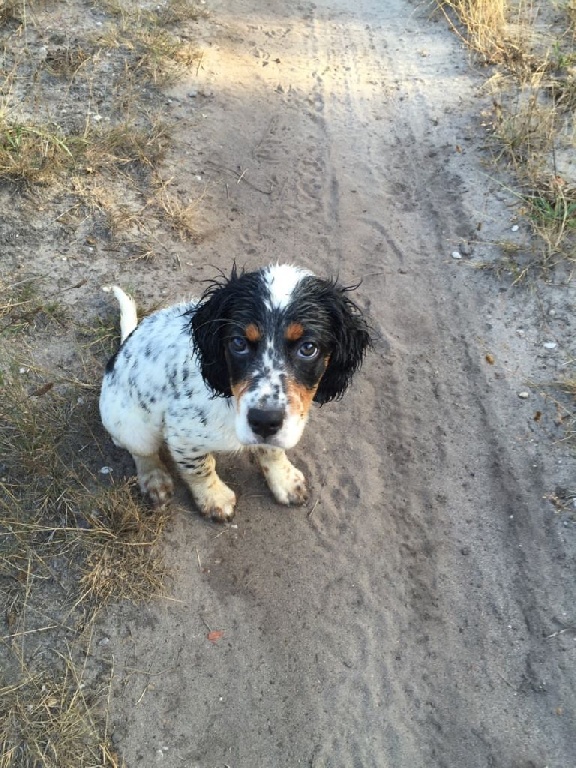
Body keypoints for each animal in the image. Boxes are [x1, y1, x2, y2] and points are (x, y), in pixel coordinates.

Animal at [99, 264, 368, 520]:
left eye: (308, 348)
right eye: (238, 343)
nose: (264, 421)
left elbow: (273, 450)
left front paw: (284, 480)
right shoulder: (183, 434)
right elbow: (200, 468)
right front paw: (214, 498)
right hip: (130, 423)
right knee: (140, 451)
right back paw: (154, 478)